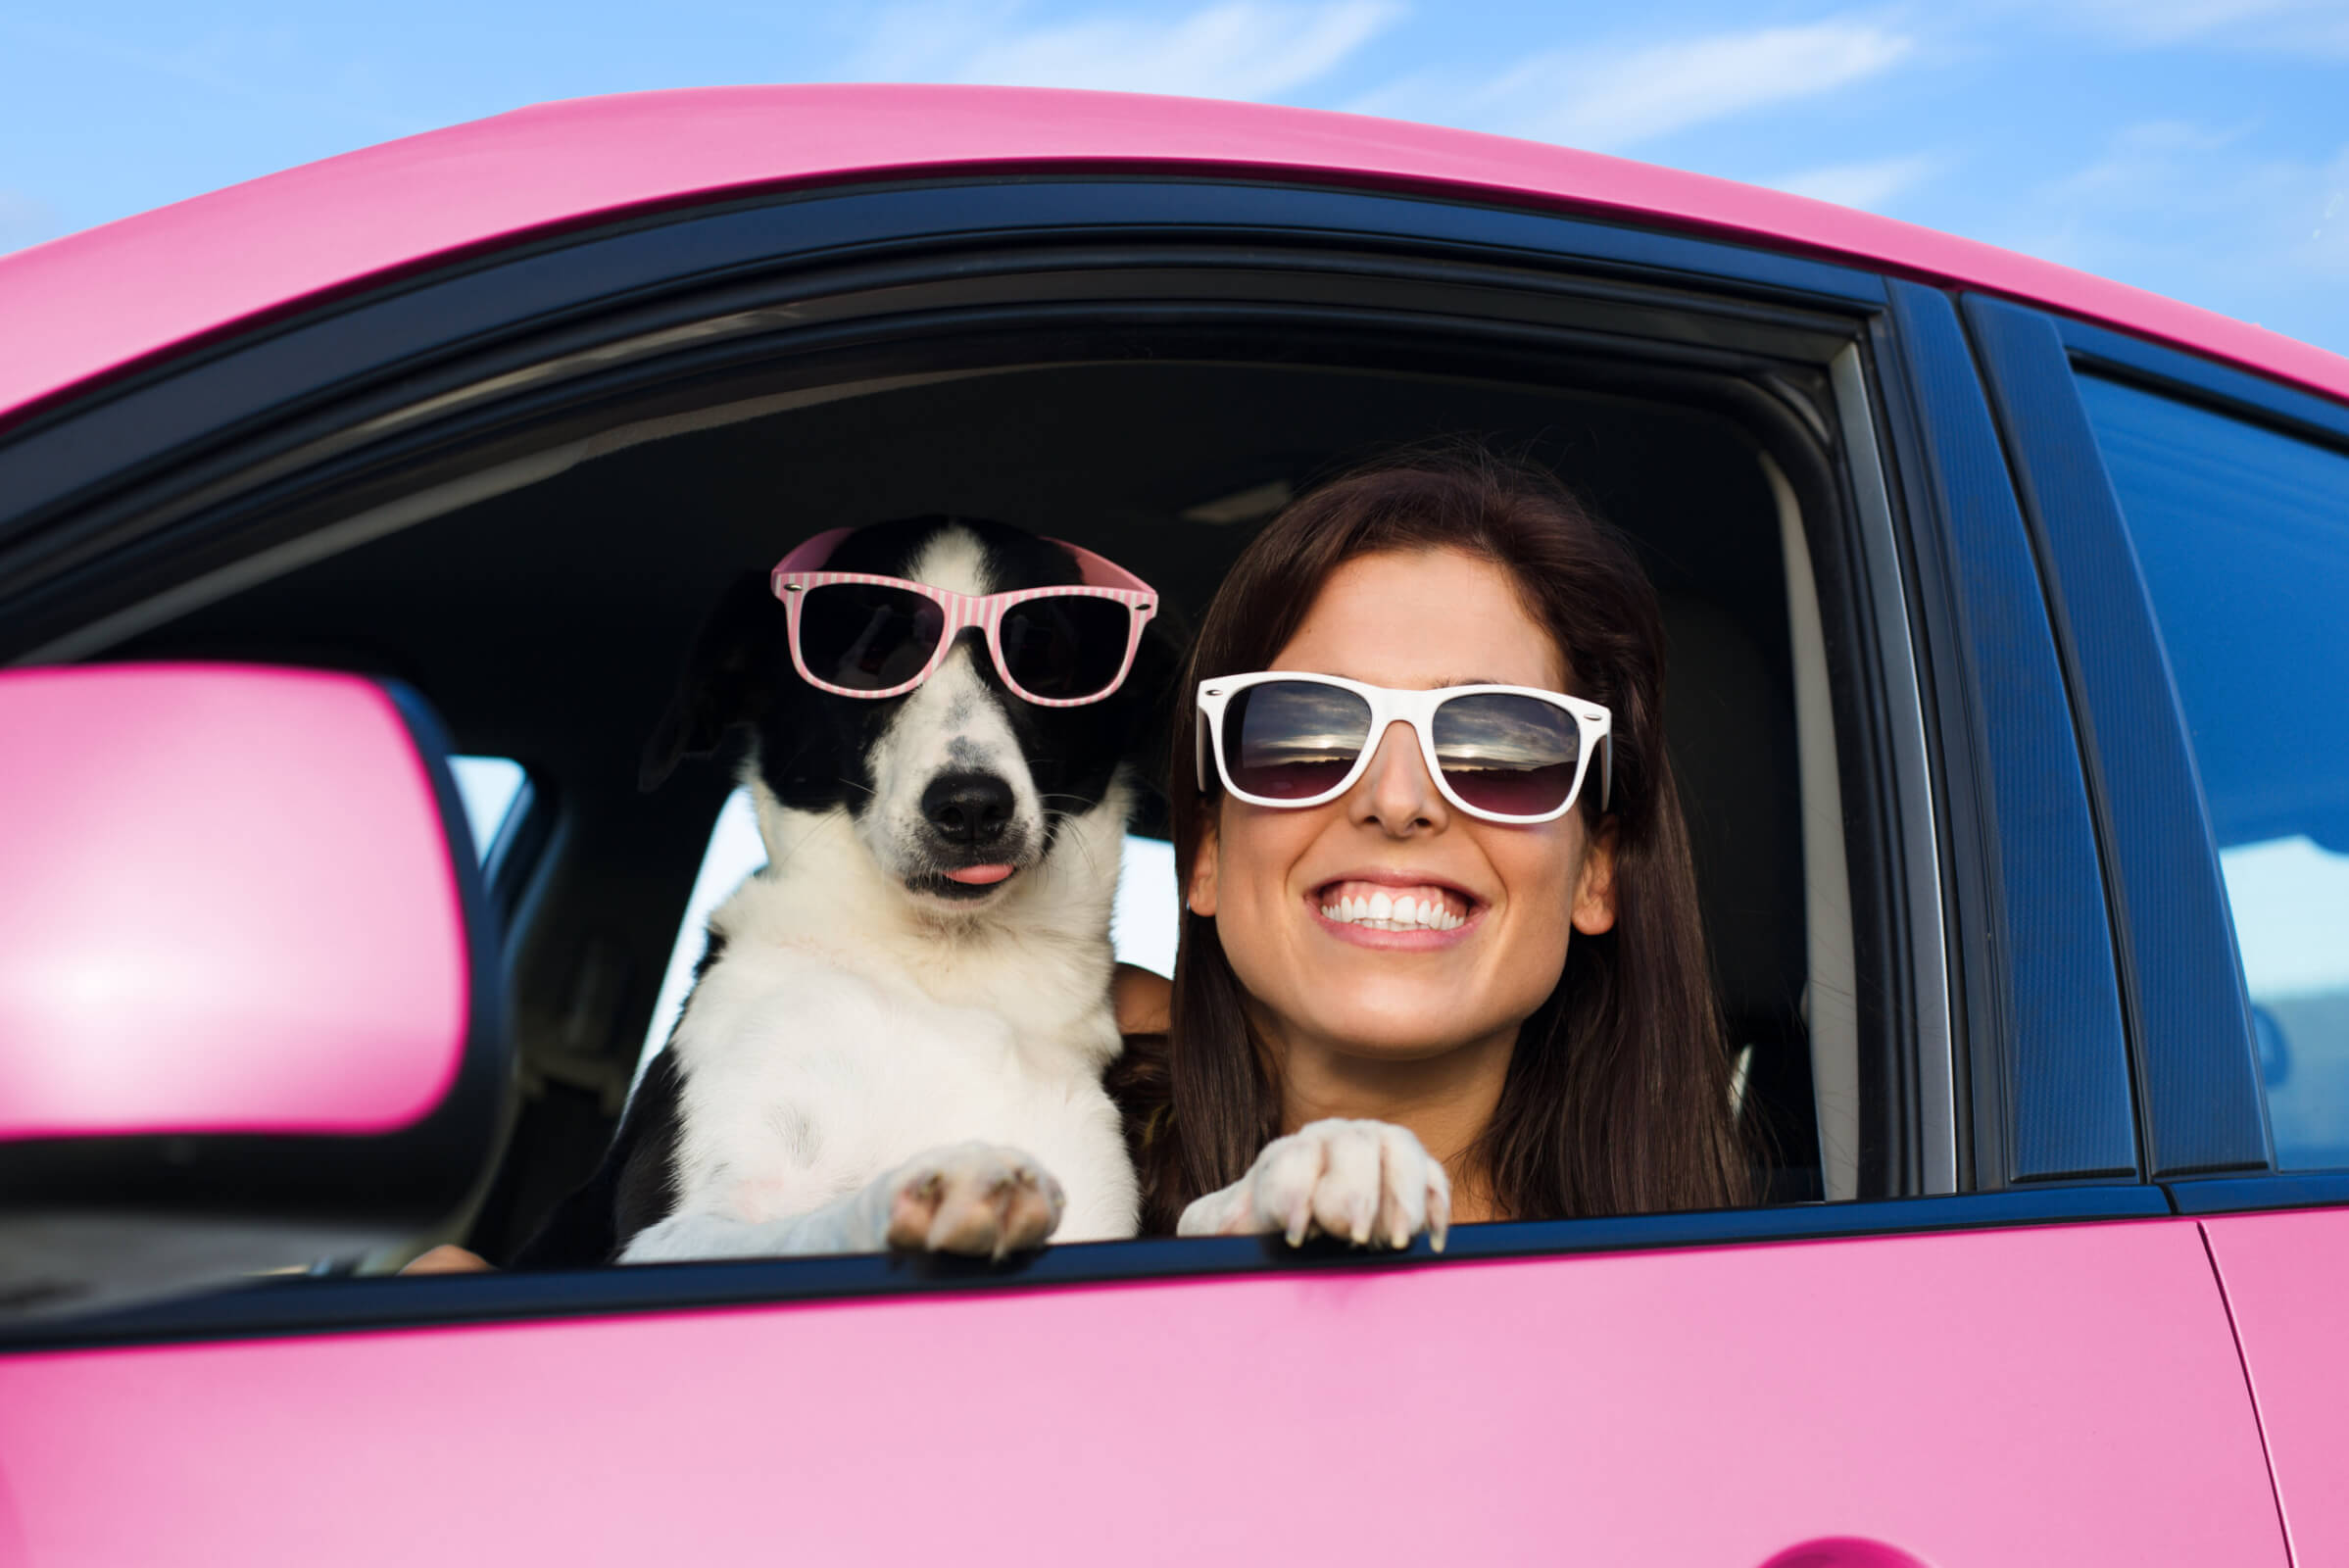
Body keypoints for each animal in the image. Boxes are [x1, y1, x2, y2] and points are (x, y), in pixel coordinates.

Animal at [521, 520, 1164, 1267]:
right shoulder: (668, 1233)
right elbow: (802, 1228)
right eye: (872, 652)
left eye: (1042, 652)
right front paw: (924, 1196)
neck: (946, 972)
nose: (972, 806)